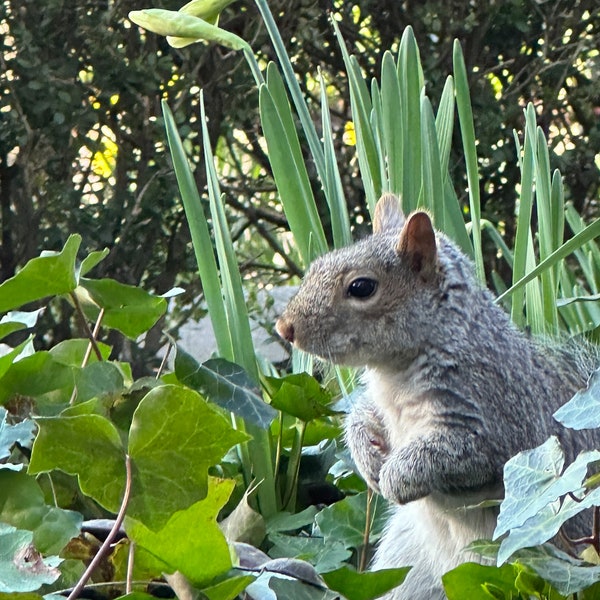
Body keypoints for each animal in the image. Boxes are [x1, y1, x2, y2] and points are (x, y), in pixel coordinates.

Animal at [278, 193, 600, 600]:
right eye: (317, 265)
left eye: (361, 287)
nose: (284, 328)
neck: (395, 372)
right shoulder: (379, 404)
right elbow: (361, 416)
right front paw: (367, 457)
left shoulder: (495, 417)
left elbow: (452, 455)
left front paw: (395, 477)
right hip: (408, 566)